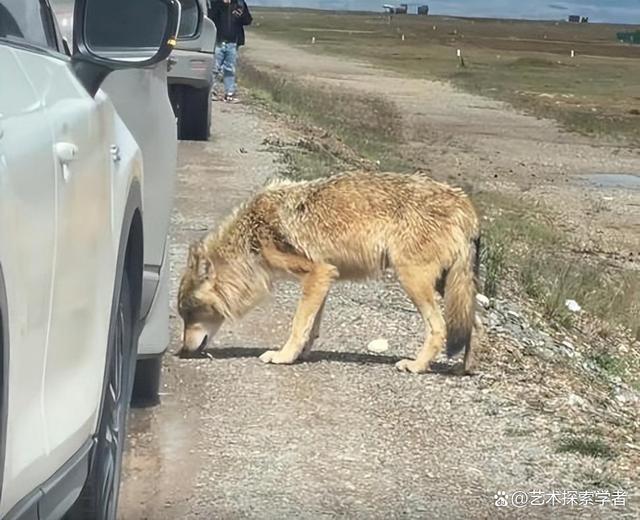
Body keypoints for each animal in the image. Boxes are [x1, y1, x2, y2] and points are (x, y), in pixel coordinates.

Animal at [175, 171, 480, 374]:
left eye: (190, 314)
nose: (181, 352)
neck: (250, 240)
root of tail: (465, 203)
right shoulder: (325, 277)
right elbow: (311, 327)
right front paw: (300, 355)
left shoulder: (317, 272)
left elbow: (298, 325)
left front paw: (283, 356)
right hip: (448, 286)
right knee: (473, 325)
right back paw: (465, 369)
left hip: (413, 281)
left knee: (440, 327)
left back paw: (416, 366)